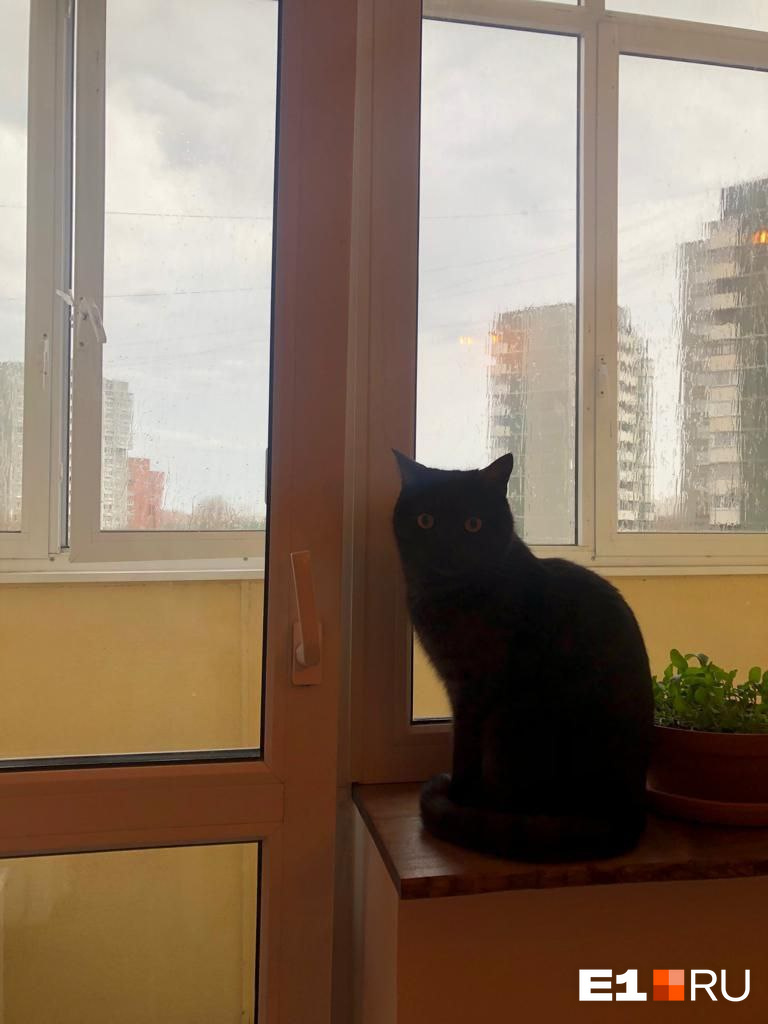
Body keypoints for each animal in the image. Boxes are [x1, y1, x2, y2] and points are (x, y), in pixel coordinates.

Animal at [392, 450, 653, 862]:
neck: (448, 598)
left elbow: (464, 747)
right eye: (425, 520)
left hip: (512, 727)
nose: (447, 547)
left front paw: (458, 796)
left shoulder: (473, 690)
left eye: (472, 524)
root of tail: (629, 812)